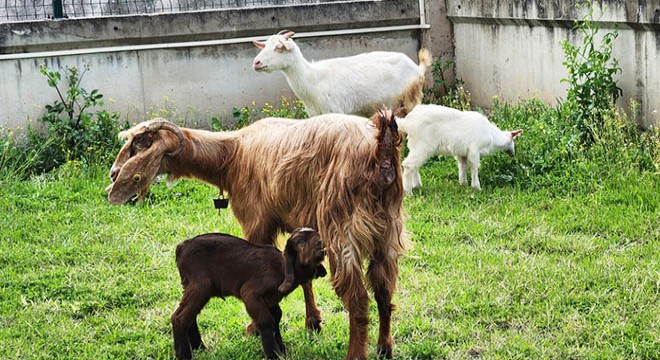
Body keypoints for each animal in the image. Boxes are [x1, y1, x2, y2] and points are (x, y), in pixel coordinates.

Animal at [170, 228, 324, 360]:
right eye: (300, 241)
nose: (321, 243)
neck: (281, 267)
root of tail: (181, 247)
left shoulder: (271, 299)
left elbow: (277, 316)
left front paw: (281, 349)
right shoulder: (250, 294)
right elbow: (266, 320)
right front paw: (273, 354)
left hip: (193, 287)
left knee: (190, 316)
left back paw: (200, 348)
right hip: (200, 286)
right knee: (179, 317)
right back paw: (184, 355)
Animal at [253, 30, 434, 116]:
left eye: (279, 48)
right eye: (265, 45)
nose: (256, 63)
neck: (313, 79)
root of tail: (417, 68)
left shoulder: (336, 110)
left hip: (409, 99)